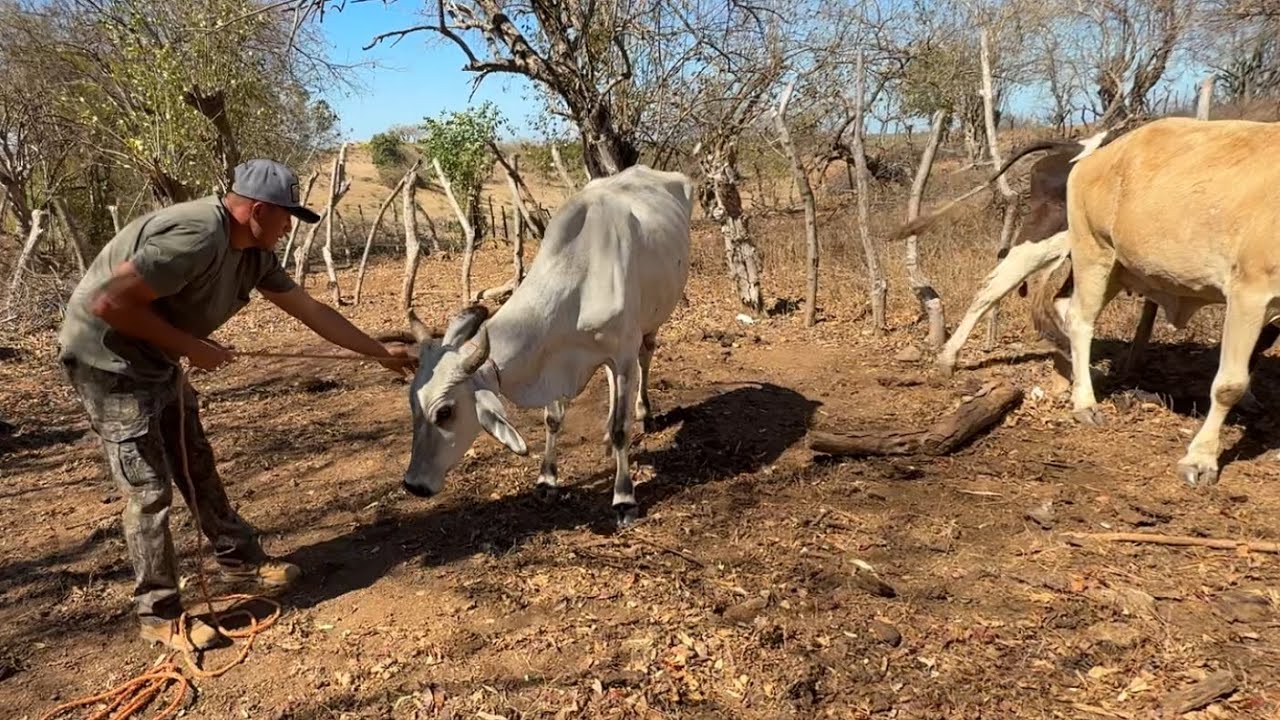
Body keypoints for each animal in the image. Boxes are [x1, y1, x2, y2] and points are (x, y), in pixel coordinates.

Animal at [399, 164, 695, 529]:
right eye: (412, 403)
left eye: (445, 412)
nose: (414, 485)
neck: (580, 276)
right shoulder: (555, 359)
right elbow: (553, 420)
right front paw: (547, 479)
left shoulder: (623, 352)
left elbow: (622, 429)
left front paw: (624, 499)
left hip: (649, 324)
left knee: (645, 358)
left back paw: (643, 414)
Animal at [1050, 117, 1280, 487]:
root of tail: (1095, 158)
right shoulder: (1251, 292)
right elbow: (1229, 383)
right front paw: (1200, 460)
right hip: (1093, 250)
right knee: (1080, 319)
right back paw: (1084, 402)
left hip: (1121, 267)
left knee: (1064, 307)